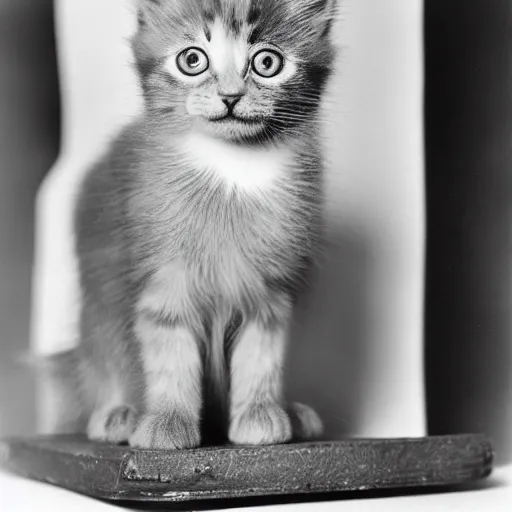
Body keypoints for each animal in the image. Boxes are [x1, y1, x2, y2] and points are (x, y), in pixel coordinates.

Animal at [44, 0, 338, 448]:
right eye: (192, 60)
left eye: (267, 62)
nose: (230, 96)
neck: (233, 170)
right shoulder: (164, 276)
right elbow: (170, 353)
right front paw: (168, 420)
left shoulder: (270, 289)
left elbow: (261, 354)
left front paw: (259, 413)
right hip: (98, 320)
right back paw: (119, 414)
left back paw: (294, 414)